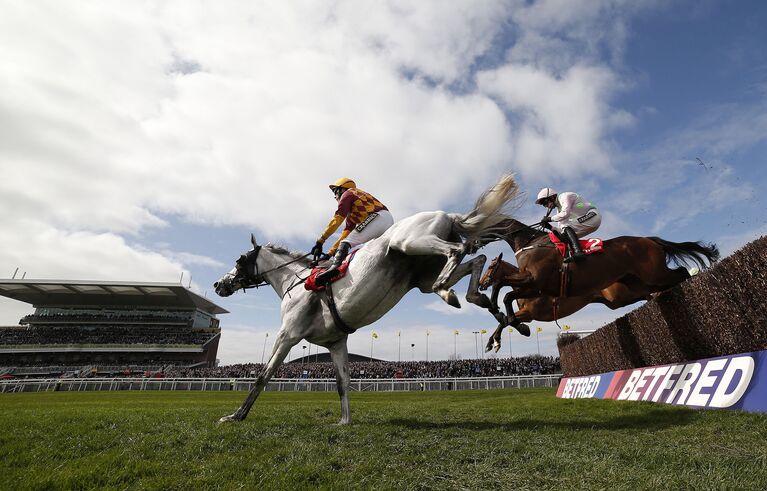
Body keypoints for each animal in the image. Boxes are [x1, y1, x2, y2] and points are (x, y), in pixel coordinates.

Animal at [213, 175, 520, 424]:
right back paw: (479, 301)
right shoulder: (336, 342)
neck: (295, 282)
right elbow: (342, 382)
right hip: (421, 276)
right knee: (475, 260)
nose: (218, 284)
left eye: (239, 260)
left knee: (458, 249)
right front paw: (344, 421)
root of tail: (447, 214)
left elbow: (263, 375)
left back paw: (450, 288)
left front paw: (235, 416)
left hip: (408, 242)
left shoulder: (288, 334)